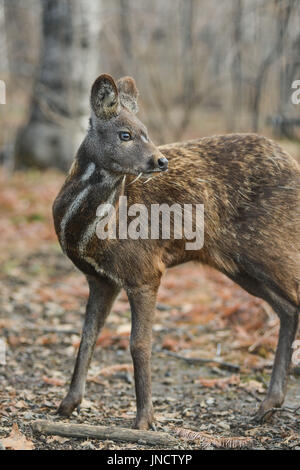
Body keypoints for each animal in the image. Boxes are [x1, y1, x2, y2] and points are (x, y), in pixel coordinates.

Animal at [52, 73, 300, 430]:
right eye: (125, 134)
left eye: (146, 131)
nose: (160, 160)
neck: (95, 230)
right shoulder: (100, 279)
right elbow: (86, 337)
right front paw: (68, 404)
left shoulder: (145, 270)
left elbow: (139, 344)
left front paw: (145, 419)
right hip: (240, 264)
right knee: (288, 309)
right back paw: (267, 404)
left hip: (273, 244)